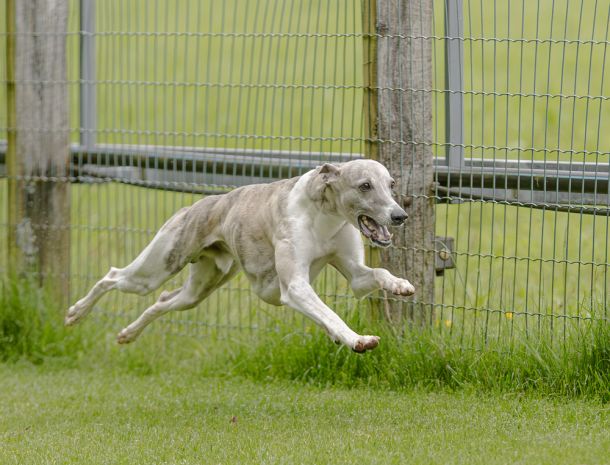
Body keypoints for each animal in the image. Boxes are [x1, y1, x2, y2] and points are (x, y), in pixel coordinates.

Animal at [65, 160, 414, 352]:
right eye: (365, 185)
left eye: (391, 183)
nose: (400, 216)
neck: (324, 214)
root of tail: (197, 205)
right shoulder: (295, 288)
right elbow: (330, 315)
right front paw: (357, 340)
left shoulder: (355, 275)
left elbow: (375, 274)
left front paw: (400, 285)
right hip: (155, 268)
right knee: (113, 276)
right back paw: (76, 313)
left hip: (200, 287)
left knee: (163, 300)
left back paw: (128, 334)